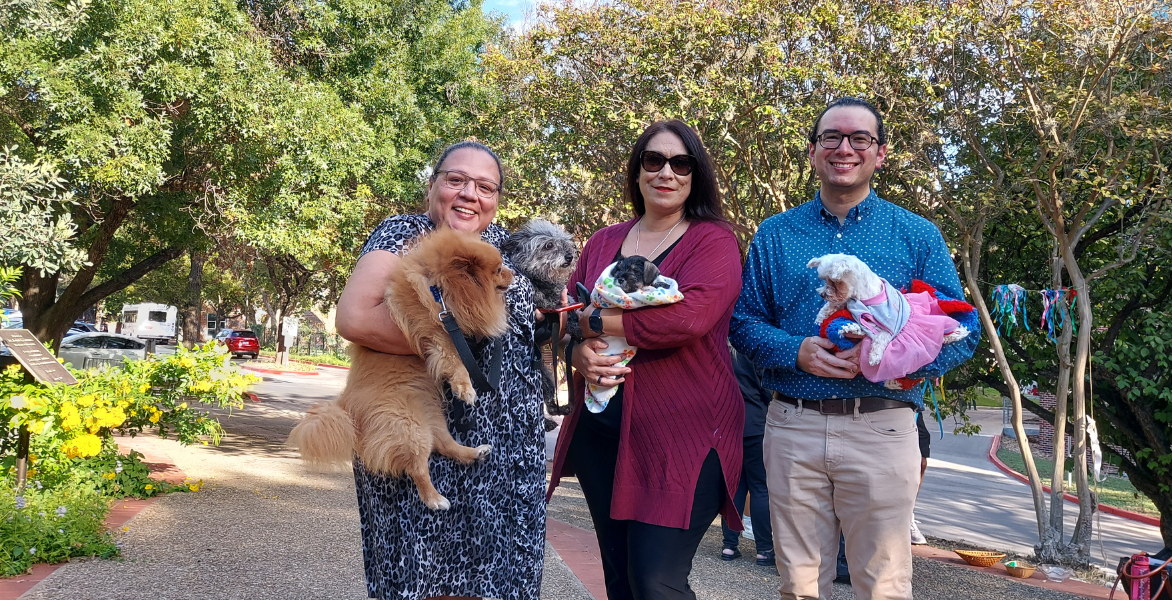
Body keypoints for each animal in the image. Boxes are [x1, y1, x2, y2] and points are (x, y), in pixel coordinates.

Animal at [285, 227, 510, 508]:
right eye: (499, 269)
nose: (514, 275)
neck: (438, 286)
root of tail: (346, 408)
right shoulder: (436, 332)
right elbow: (455, 361)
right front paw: (466, 388)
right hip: (409, 427)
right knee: (418, 467)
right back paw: (435, 499)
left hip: (432, 418)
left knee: (445, 445)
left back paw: (476, 452)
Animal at [501, 219, 578, 421]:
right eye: (548, 245)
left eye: (565, 243)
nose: (569, 256)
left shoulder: (564, 301)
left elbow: (570, 307)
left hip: (547, 379)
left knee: (550, 401)